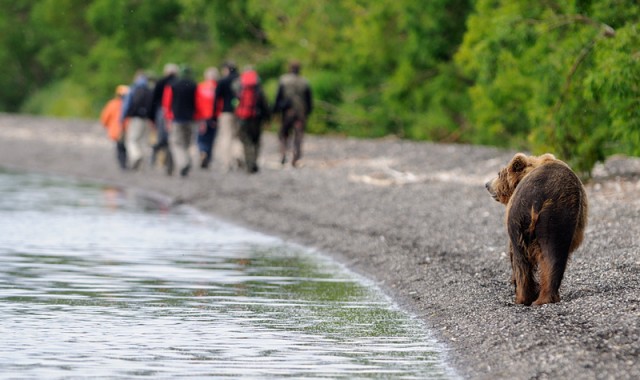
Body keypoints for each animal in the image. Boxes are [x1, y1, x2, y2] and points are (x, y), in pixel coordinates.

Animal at [488, 153, 588, 304]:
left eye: (499, 173)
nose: (487, 184)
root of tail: (536, 200)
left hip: (526, 218)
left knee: (520, 258)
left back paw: (524, 297)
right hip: (558, 219)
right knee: (554, 256)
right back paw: (546, 297)